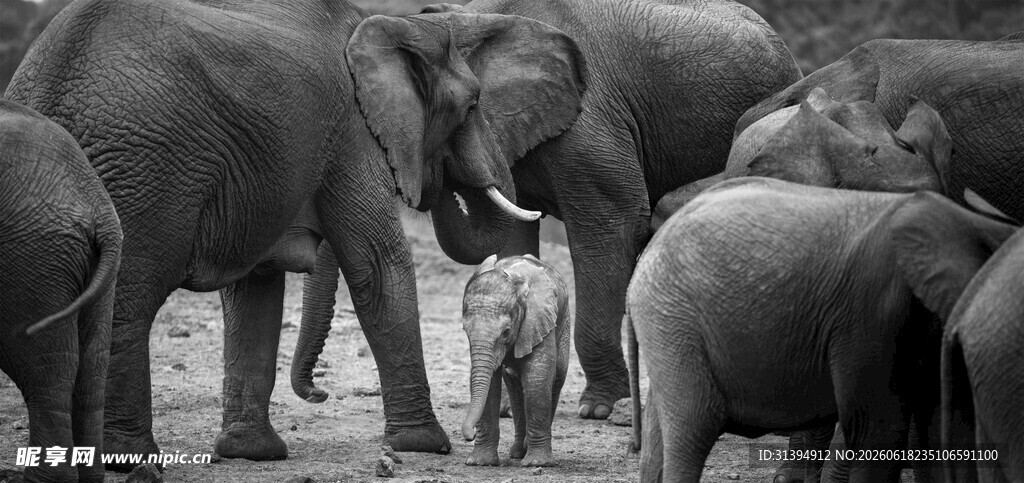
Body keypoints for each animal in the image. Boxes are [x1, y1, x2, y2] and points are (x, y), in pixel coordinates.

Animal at [295, 0, 805, 422]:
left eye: (470, 107)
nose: (318, 394)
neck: (474, 17)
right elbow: (514, 240)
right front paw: (507, 407)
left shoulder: (592, 119)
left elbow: (613, 226)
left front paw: (600, 409)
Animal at [459, 254, 571, 468]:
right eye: (465, 331)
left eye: (506, 332)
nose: (470, 435)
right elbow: (490, 383)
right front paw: (480, 463)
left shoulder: (539, 318)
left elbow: (538, 377)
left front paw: (537, 463)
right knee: (515, 388)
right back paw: (518, 452)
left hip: (564, 322)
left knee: (556, 378)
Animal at [626, 176, 1016, 482]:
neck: (970, 222)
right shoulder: (872, 309)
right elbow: (878, 428)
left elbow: (940, 431)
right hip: (675, 317)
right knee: (694, 426)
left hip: (667, 323)